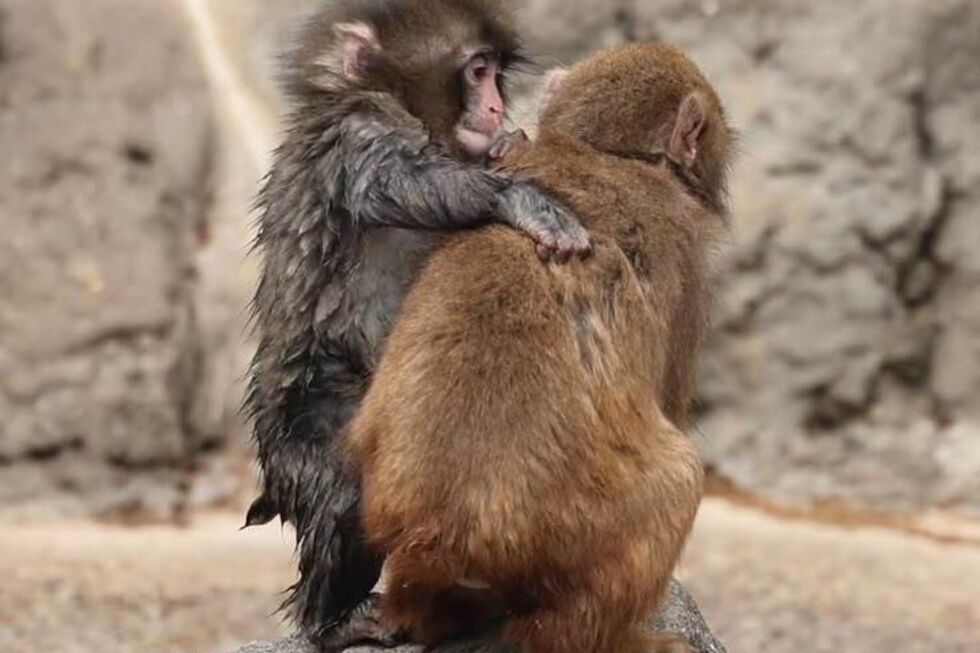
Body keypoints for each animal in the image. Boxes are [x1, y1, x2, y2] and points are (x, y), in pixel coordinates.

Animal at [243, 0, 593, 642]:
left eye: (495, 72)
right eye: (476, 71)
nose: (495, 106)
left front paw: (510, 145)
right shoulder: (359, 133)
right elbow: (404, 180)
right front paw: (519, 198)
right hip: (306, 419)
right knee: (344, 487)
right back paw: (332, 621)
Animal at [346, 42, 733, 653]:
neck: (605, 153)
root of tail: (443, 537)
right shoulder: (687, 260)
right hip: (575, 532)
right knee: (679, 480)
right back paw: (621, 640)